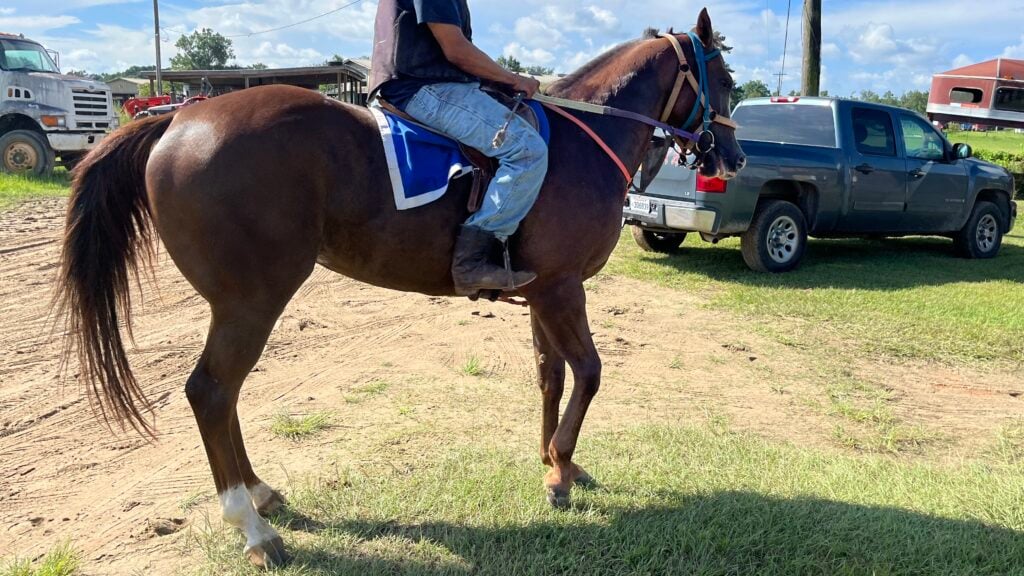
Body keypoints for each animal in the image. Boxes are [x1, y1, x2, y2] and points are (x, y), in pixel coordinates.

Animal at [56, 8, 744, 568]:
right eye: (727, 81)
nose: (733, 158)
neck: (581, 143)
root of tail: (182, 116)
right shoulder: (562, 289)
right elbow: (591, 372)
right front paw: (560, 474)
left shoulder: (543, 291)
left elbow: (550, 375)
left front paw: (555, 461)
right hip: (250, 301)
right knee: (211, 392)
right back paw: (251, 527)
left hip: (240, 305)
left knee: (225, 397)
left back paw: (261, 494)